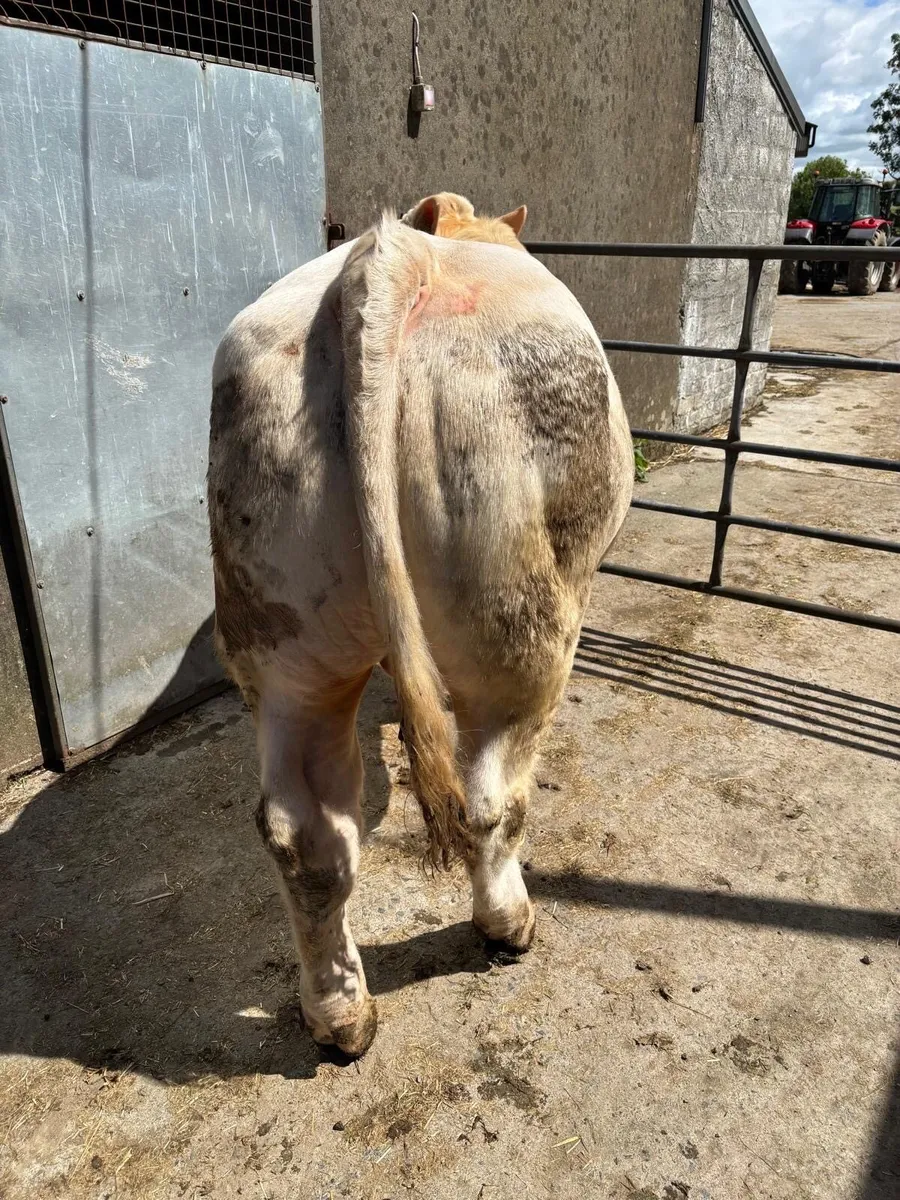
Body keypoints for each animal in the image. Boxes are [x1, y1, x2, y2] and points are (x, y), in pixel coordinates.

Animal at [208, 193, 633, 1057]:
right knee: (490, 796)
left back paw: (341, 1017)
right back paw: (508, 924)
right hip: (516, 619)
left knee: (306, 836)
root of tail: (389, 258)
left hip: (284, 634)